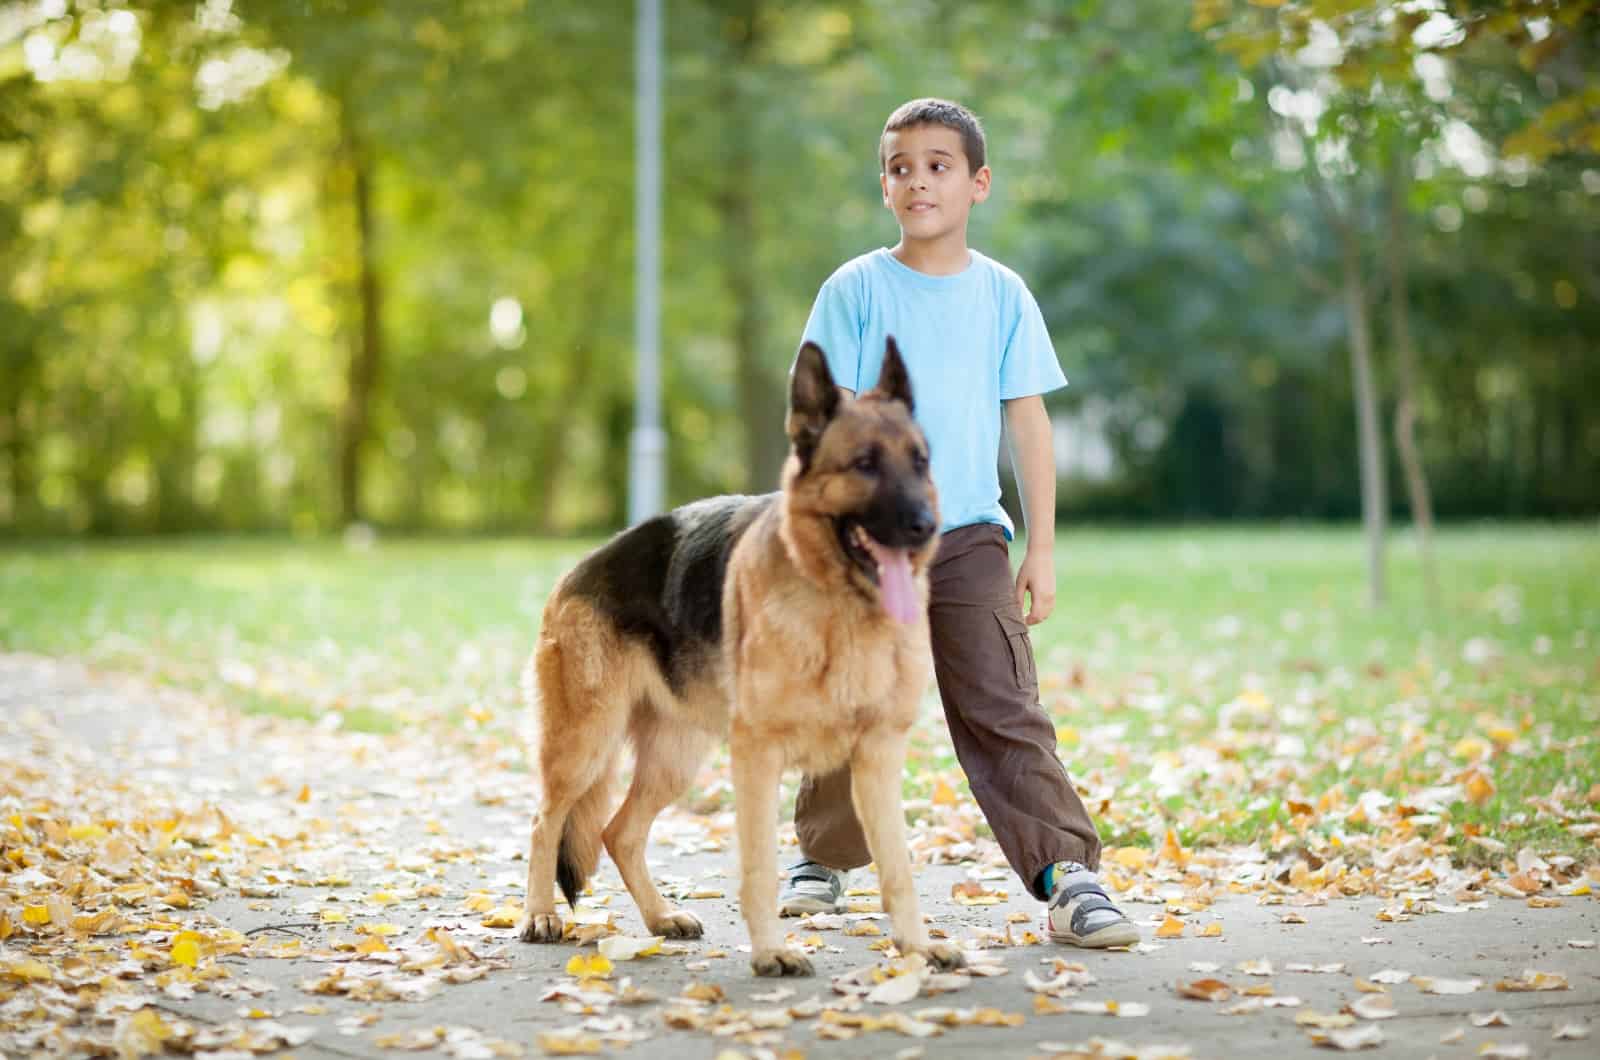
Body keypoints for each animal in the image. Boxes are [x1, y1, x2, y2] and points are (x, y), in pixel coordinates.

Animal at [518, 341, 960, 979]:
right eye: (864, 464)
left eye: (921, 462)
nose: (926, 527)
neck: (838, 612)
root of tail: (577, 570)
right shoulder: (758, 756)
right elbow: (760, 866)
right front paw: (772, 951)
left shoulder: (878, 758)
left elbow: (898, 868)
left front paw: (918, 947)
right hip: (585, 745)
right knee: (545, 822)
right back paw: (539, 914)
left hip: (677, 756)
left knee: (618, 832)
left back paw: (660, 918)